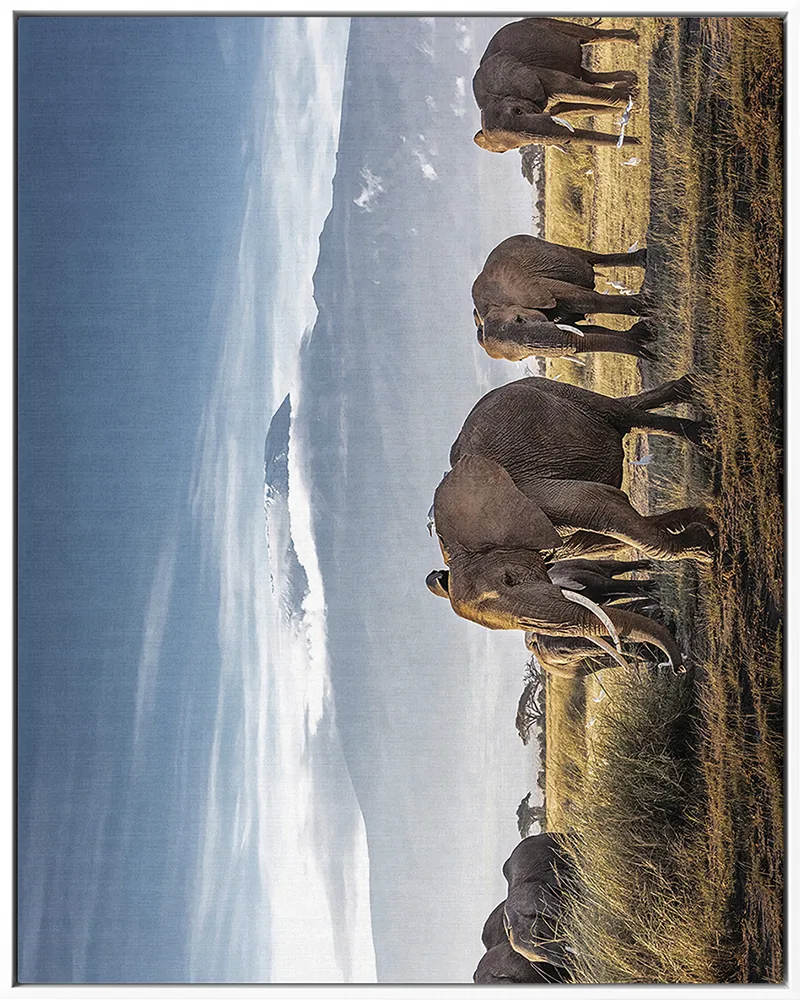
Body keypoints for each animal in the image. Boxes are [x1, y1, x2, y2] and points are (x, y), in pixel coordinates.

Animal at [426, 375, 715, 672]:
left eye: (509, 578)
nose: (678, 667)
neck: (455, 542)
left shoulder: (535, 492)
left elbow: (603, 507)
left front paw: (706, 548)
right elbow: (605, 535)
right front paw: (703, 522)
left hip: (550, 388)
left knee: (623, 415)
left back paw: (703, 432)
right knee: (626, 411)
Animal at [472, 235, 655, 362]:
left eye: (519, 319)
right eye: (521, 359)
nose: (651, 356)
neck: (489, 308)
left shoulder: (537, 286)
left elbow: (584, 300)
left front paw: (647, 307)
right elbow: (586, 332)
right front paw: (644, 334)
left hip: (552, 247)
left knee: (592, 258)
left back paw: (643, 259)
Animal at [473, 18, 641, 152]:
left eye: (518, 111)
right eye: (518, 146)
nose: (639, 141)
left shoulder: (534, 73)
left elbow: (568, 87)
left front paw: (634, 101)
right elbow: (574, 108)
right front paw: (631, 102)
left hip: (544, 23)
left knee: (590, 35)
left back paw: (635, 41)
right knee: (589, 77)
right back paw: (631, 80)